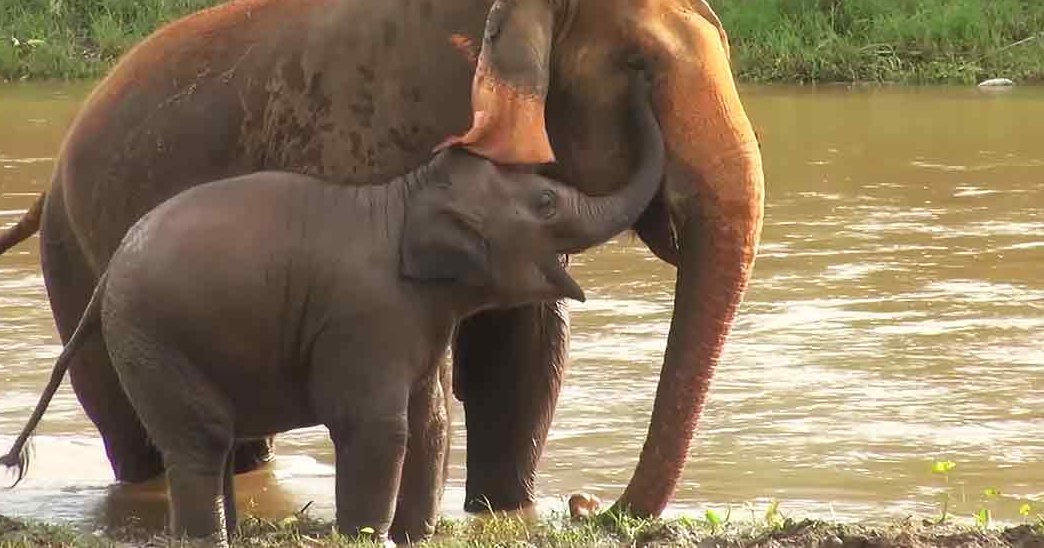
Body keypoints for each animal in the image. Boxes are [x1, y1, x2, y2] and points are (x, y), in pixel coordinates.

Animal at [0, 0, 764, 518]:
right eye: (640, 71)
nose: (585, 505)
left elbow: (525, 355)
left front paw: (503, 511)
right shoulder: (367, 148)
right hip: (74, 265)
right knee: (133, 434)